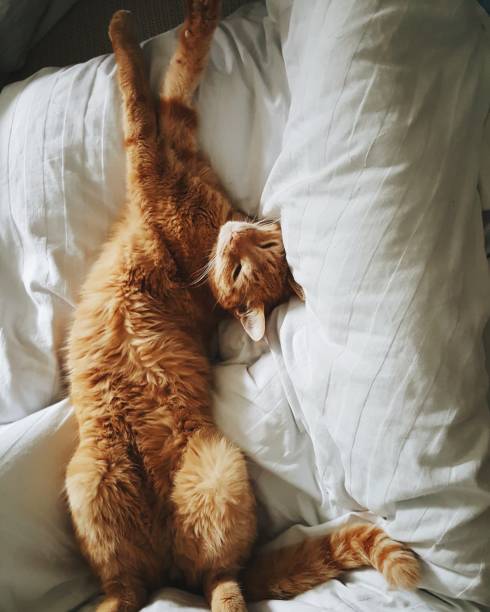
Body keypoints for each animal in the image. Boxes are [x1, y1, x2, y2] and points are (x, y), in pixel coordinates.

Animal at [65, 2, 422, 608]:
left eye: (242, 268)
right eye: (260, 248)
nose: (234, 239)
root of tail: (170, 567)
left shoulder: (153, 163)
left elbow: (148, 88)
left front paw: (133, 30)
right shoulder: (176, 149)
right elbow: (175, 83)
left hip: (217, 468)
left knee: (221, 578)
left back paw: (216, 591)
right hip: (92, 477)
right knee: (132, 584)